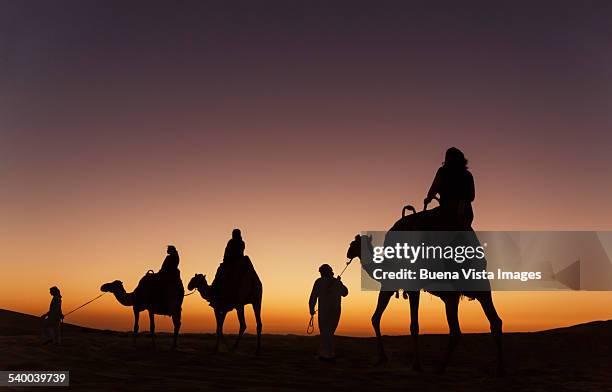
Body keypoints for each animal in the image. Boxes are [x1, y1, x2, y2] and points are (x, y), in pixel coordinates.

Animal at [346, 205, 504, 374]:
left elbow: (408, 325)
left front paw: (414, 364)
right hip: (461, 295)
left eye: (353, 244)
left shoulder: (400, 286)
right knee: (482, 324)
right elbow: (377, 318)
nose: (347, 253)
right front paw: (383, 359)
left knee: (466, 327)